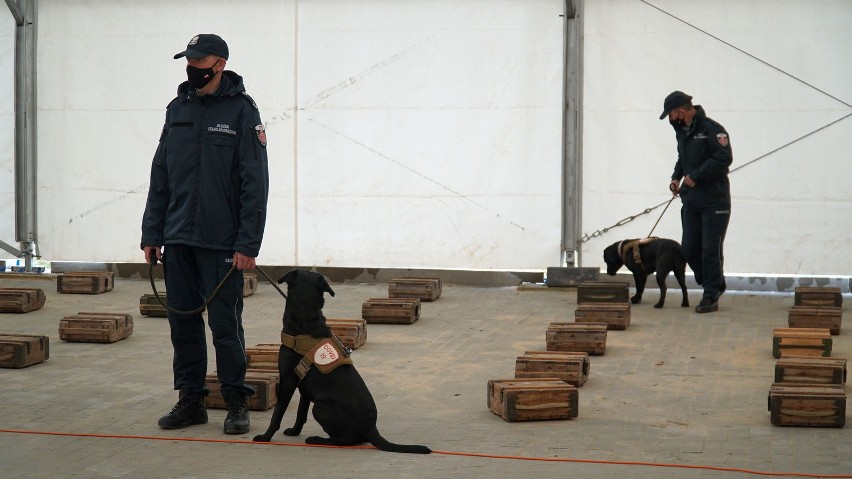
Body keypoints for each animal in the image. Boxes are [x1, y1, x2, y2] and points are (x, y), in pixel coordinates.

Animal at [250, 270, 430, 454]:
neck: (306, 320)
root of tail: (371, 428)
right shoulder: (304, 386)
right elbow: (301, 413)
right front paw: (294, 431)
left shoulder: (288, 381)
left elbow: (277, 413)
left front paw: (266, 437)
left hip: (320, 407)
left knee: (342, 441)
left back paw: (317, 439)